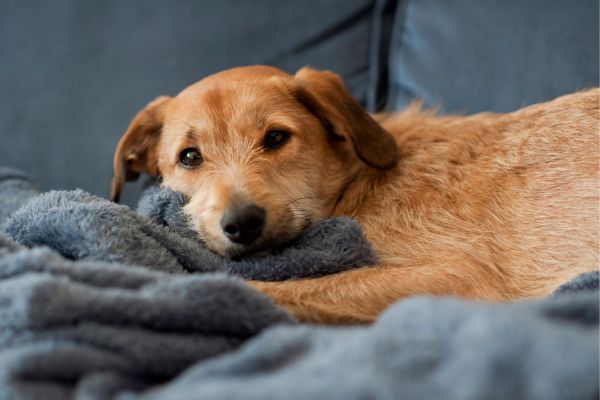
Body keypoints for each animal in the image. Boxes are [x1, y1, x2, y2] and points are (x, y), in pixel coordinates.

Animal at [110, 65, 596, 322]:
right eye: (190, 157)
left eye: (275, 138)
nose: (242, 223)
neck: (360, 182)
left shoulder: (459, 276)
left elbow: (288, 287)